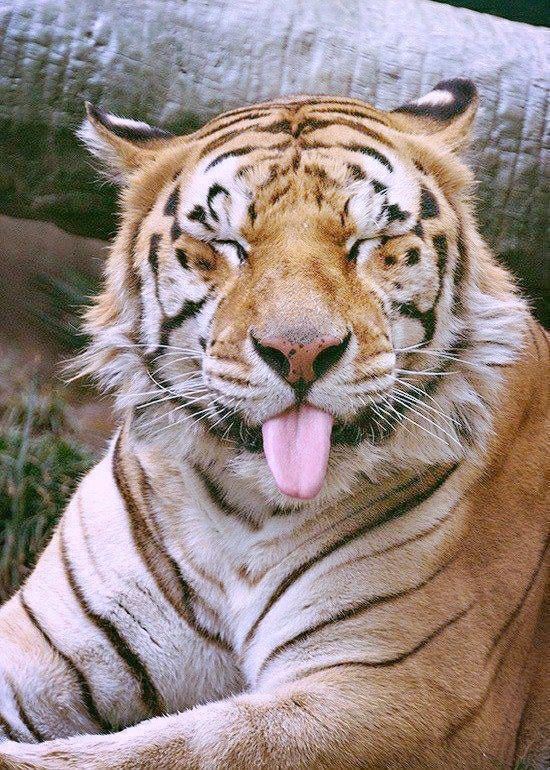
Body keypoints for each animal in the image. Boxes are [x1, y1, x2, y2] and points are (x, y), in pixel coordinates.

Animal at [0, 78, 547, 770]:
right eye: (227, 246)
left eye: (366, 245)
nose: (300, 351)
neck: (244, 509)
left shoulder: (401, 691)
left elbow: (180, 746)